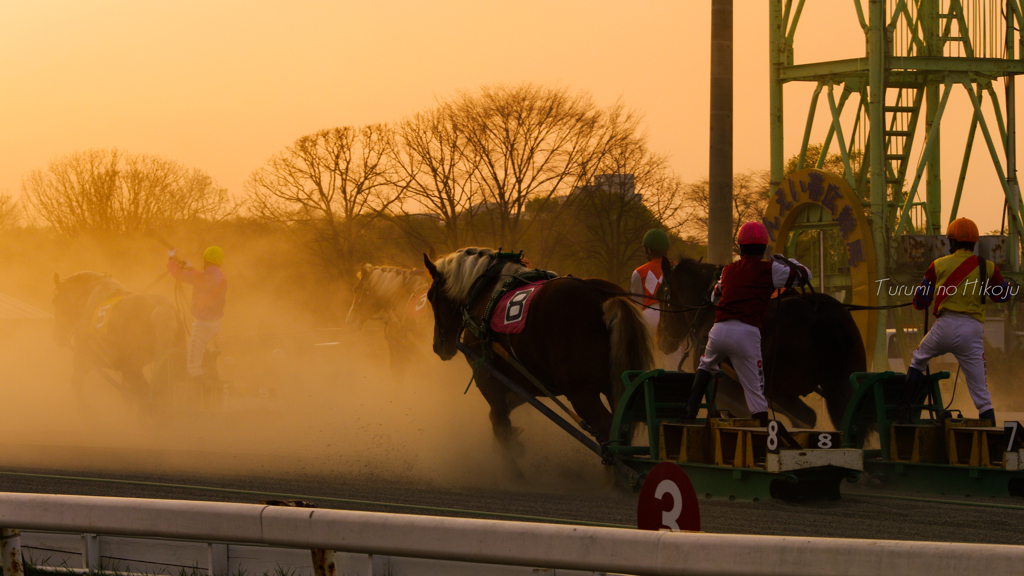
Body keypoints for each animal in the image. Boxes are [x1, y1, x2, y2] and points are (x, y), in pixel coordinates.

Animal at [51, 270, 185, 407]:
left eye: (55, 302)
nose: (57, 336)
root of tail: (161, 310)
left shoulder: (83, 360)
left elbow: (76, 384)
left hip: (134, 373)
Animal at [423, 243, 655, 473]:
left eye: (430, 296)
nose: (437, 346)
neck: (485, 291)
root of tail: (601, 297)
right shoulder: (527, 381)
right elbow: (506, 409)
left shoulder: (489, 378)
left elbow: (500, 423)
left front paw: (512, 468)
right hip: (618, 387)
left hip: (581, 392)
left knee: (608, 433)